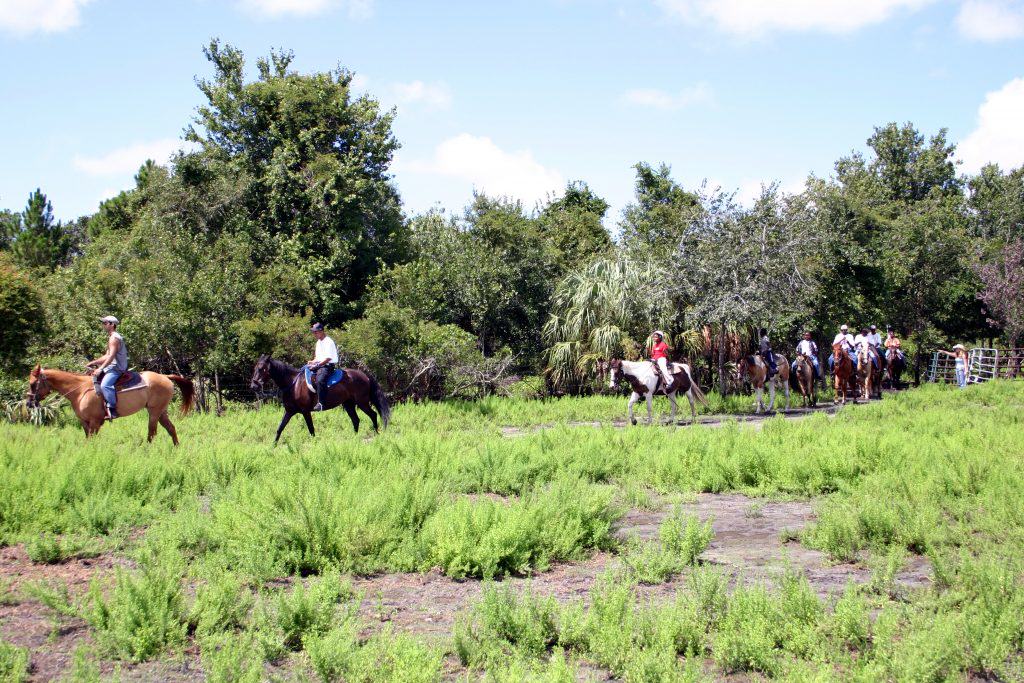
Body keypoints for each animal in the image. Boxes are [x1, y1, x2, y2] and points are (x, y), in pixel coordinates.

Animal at [27, 366, 194, 446]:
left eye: (33, 383)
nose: (28, 403)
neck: (80, 390)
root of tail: (165, 377)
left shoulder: (95, 421)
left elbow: (91, 440)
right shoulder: (85, 423)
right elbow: (88, 440)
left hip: (154, 412)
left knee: (152, 433)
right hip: (161, 411)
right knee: (171, 428)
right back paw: (176, 448)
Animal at [249, 356, 389, 446]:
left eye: (261, 369)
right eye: (255, 368)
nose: (253, 386)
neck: (293, 384)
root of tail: (365, 376)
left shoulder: (305, 411)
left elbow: (311, 429)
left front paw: (315, 444)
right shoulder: (289, 411)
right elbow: (280, 428)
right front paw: (273, 445)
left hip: (362, 402)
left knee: (373, 414)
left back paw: (377, 434)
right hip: (348, 404)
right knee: (356, 420)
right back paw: (354, 439)